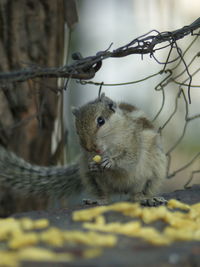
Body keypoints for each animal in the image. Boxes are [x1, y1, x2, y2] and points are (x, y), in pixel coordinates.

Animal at [0, 93, 167, 206]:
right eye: (77, 129)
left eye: (101, 121)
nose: (90, 146)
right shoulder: (88, 156)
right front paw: (94, 164)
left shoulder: (134, 141)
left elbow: (130, 159)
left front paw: (111, 161)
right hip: (93, 180)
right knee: (105, 195)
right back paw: (99, 200)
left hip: (151, 174)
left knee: (137, 194)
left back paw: (147, 199)